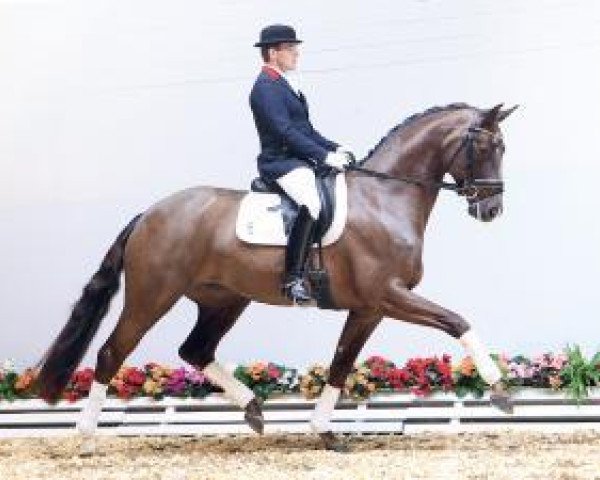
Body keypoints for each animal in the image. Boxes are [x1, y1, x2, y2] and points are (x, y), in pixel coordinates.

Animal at [35, 102, 516, 454]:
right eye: (486, 146)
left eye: (503, 147)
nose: (491, 210)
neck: (385, 197)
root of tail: (149, 213)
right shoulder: (388, 295)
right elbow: (458, 321)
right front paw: (500, 391)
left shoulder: (369, 308)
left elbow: (341, 364)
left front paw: (325, 431)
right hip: (153, 296)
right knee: (112, 353)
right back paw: (86, 438)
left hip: (224, 300)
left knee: (196, 349)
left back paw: (253, 409)